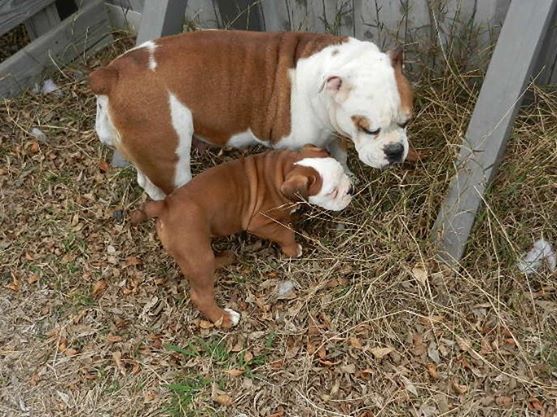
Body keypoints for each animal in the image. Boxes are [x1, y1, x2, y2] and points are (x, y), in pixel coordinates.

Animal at [90, 30, 412, 199]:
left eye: (406, 121)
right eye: (369, 129)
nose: (396, 150)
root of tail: (112, 74)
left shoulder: (333, 132)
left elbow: (340, 153)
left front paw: (346, 173)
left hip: (146, 153)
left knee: (146, 181)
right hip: (170, 155)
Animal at [130, 148, 352, 326]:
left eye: (343, 173)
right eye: (332, 192)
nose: (350, 189)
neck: (284, 169)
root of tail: (165, 205)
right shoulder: (259, 222)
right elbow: (285, 232)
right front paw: (292, 248)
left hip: (197, 252)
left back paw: (226, 258)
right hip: (195, 251)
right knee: (201, 296)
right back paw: (224, 318)